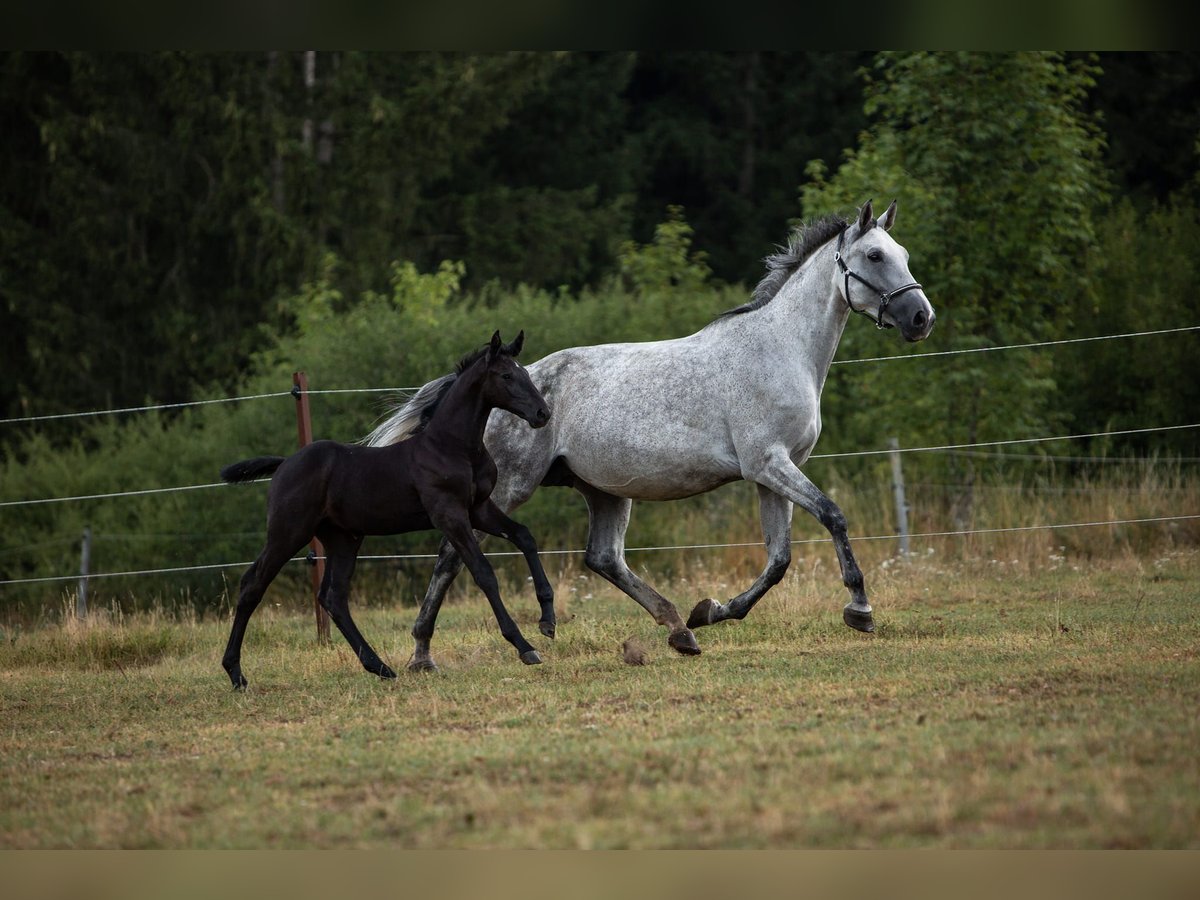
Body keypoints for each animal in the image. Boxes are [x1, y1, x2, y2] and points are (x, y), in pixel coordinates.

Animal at [219, 331, 552, 691]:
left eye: (525, 373)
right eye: (506, 376)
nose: (542, 413)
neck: (451, 447)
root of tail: (284, 465)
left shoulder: (479, 509)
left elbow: (524, 536)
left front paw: (548, 620)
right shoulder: (449, 514)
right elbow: (484, 573)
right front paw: (525, 646)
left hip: (344, 538)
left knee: (333, 597)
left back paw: (379, 666)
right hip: (288, 532)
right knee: (252, 586)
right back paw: (236, 673)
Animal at [369, 202, 931, 672]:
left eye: (903, 254)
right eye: (875, 255)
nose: (921, 317)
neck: (779, 350)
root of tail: (491, 389)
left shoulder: (771, 473)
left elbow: (778, 561)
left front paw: (711, 610)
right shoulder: (770, 465)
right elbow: (833, 516)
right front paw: (859, 609)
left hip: (604, 491)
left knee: (602, 558)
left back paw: (680, 628)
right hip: (509, 488)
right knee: (451, 555)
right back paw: (423, 654)